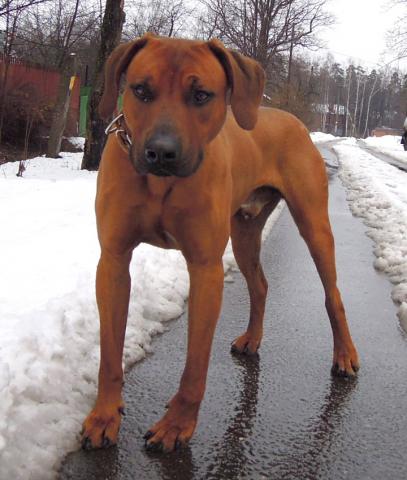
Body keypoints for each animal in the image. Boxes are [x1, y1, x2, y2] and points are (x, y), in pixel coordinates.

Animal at [81, 34, 359, 453]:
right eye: (141, 90)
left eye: (201, 95)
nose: (161, 152)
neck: (162, 184)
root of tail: (294, 120)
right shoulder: (113, 259)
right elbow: (109, 354)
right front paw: (104, 416)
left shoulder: (205, 268)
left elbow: (196, 363)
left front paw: (177, 424)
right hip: (244, 231)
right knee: (260, 284)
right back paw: (253, 338)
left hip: (314, 224)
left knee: (334, 295)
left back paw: (345, 354)